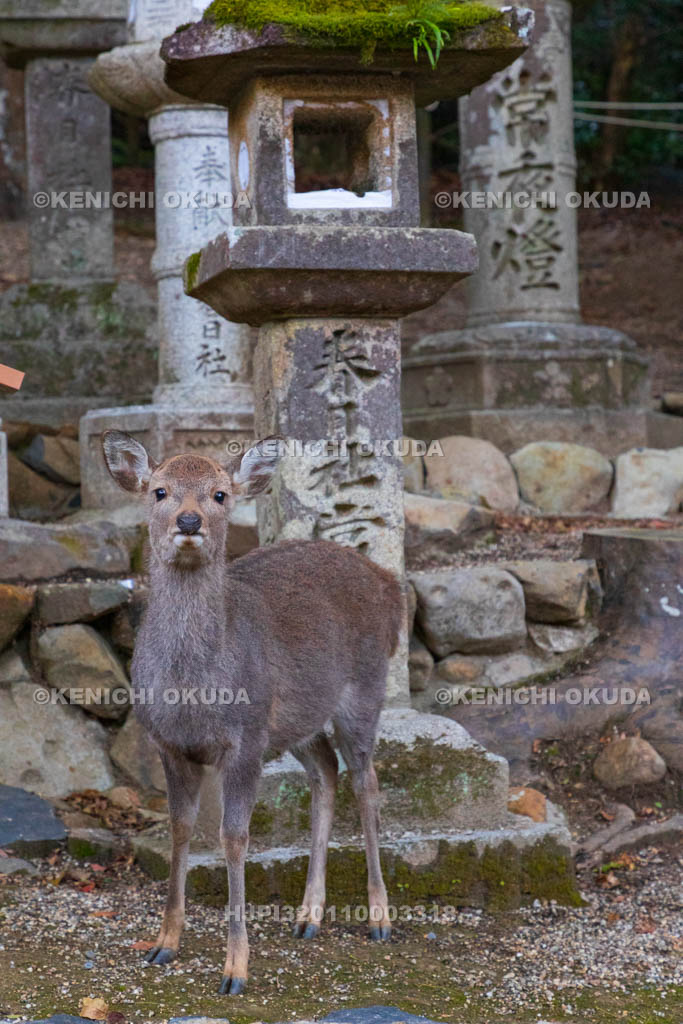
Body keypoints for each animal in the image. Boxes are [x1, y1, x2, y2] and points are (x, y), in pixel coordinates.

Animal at [101, 430, 402, 996]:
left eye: (220, 494)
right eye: (159, 491)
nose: (189, 521)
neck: (193, 691)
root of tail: (390, 584)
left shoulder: (243, 740)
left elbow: (234, 838)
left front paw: (235, 969)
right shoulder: (169, 745)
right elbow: (179, 828)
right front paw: (163, 944)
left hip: (363, 691)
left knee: (367, 782)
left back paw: (379, 918)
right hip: (295, 722)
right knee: (325, 771)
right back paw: (308, 917)